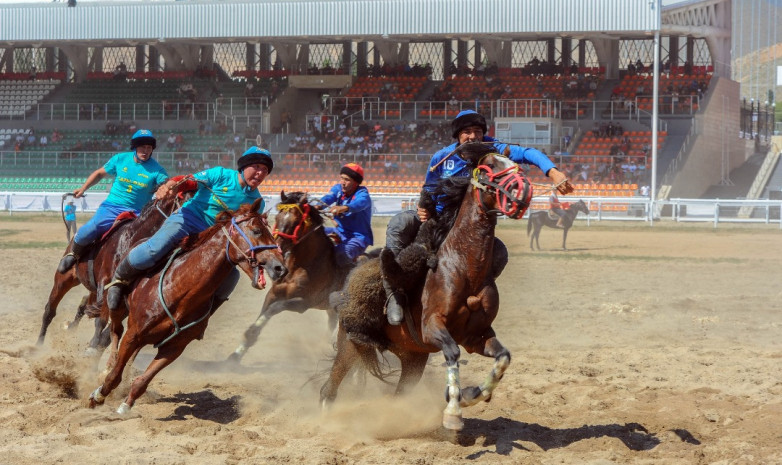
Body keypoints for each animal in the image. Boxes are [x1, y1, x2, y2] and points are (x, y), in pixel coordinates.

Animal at [36, 179, 198, 352]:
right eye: (186, 202)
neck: (131, 240)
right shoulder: (106, 286)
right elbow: (100, 322)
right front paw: (93, 346)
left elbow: (107, 331)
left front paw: (95, 346)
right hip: (64, 278)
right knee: (49, 311)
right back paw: (38, 345)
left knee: (84, 306)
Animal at [89, 199, 290, 414]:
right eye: (256, 230)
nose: (280, 267)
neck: (179, 290)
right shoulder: (133, 334)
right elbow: (114, 374)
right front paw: (97, 395)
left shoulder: (175, 347)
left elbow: (143, 381)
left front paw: (125, 405)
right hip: (117, 307)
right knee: (115, 331)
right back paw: (107, 363)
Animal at [227, 189, 350, 362]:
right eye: (277, 217)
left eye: (296, 221)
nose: (277, 248)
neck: (303, 266)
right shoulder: (273, 293)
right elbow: (259, 321)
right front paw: (236, 355)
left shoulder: (304, 303)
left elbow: (274, 309)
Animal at [318, 142, 532, 432]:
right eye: (490, 168)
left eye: (516, 166)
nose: (524, 192)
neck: (462, 267)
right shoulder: (433, 326)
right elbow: (452, 353)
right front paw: (453, 411)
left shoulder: (476, 336)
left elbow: (503, 357)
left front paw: (473, 395)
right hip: (350, 345)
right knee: (329, 388)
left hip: (413, 360)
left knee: (398, 394)